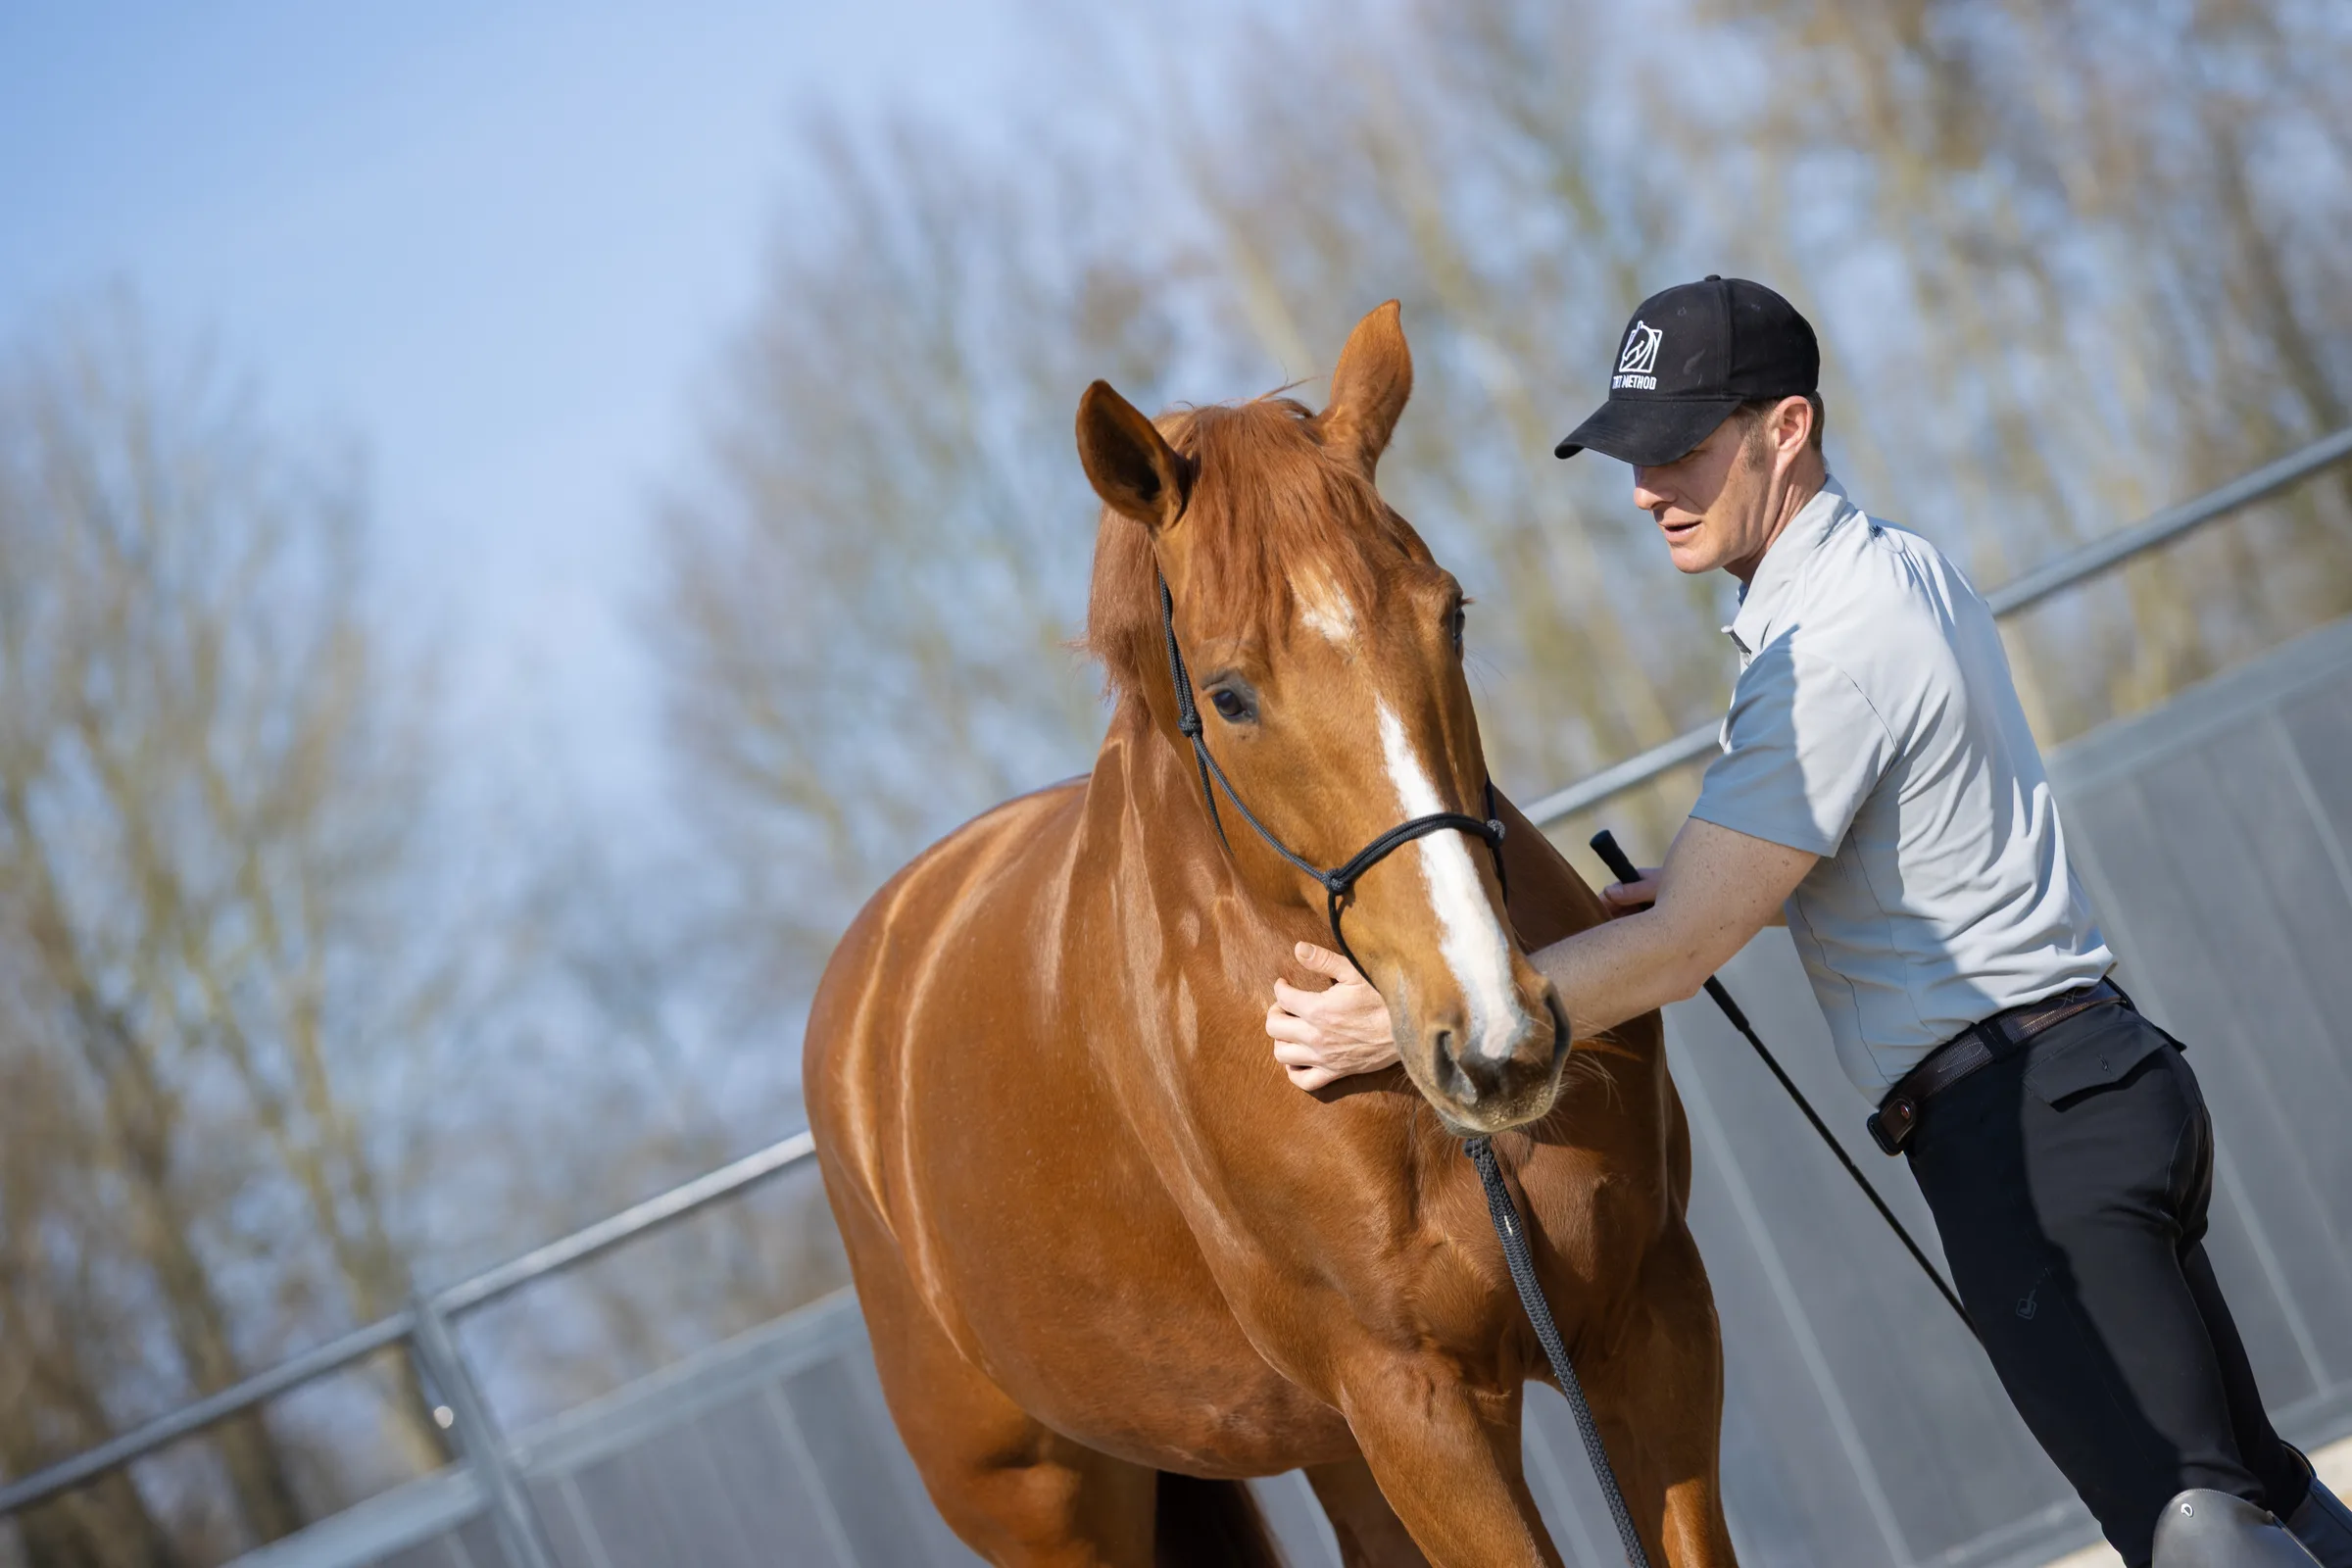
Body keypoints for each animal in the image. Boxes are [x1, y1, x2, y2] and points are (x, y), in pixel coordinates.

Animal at [805, 302, 1736, 1567]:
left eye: (1451, 613)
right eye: (1231, 695)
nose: (1497, 1041)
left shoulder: (1648, 1320)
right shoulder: (1416, 1407)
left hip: (1320, 1442)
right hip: (1053, 1506)